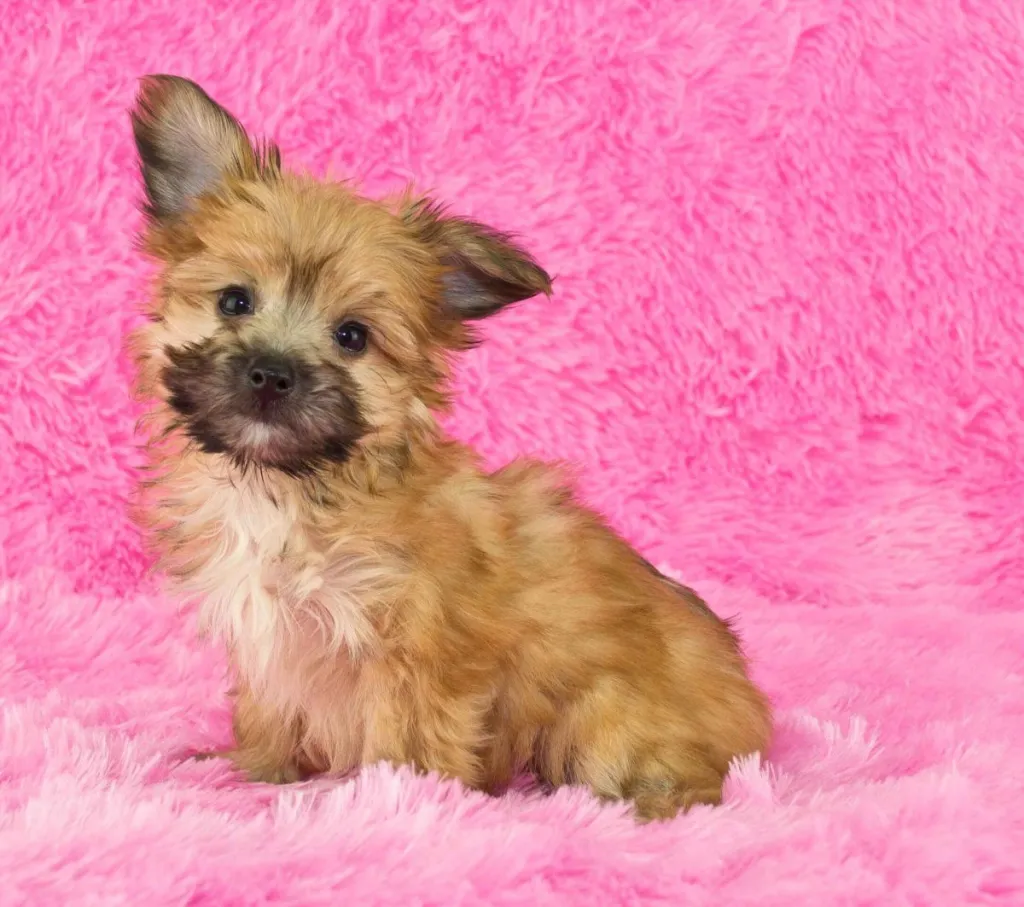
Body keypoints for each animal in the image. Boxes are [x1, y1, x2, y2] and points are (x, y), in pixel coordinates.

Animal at [125, 76, 770, 823]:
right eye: (234, 301)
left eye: (353, 336)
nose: (271, 373)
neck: (296, 487)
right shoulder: (275, 648)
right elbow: (270, 715)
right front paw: (252, 767)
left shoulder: (415, 649)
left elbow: (405, 737)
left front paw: (395, 798)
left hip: (605, 717)